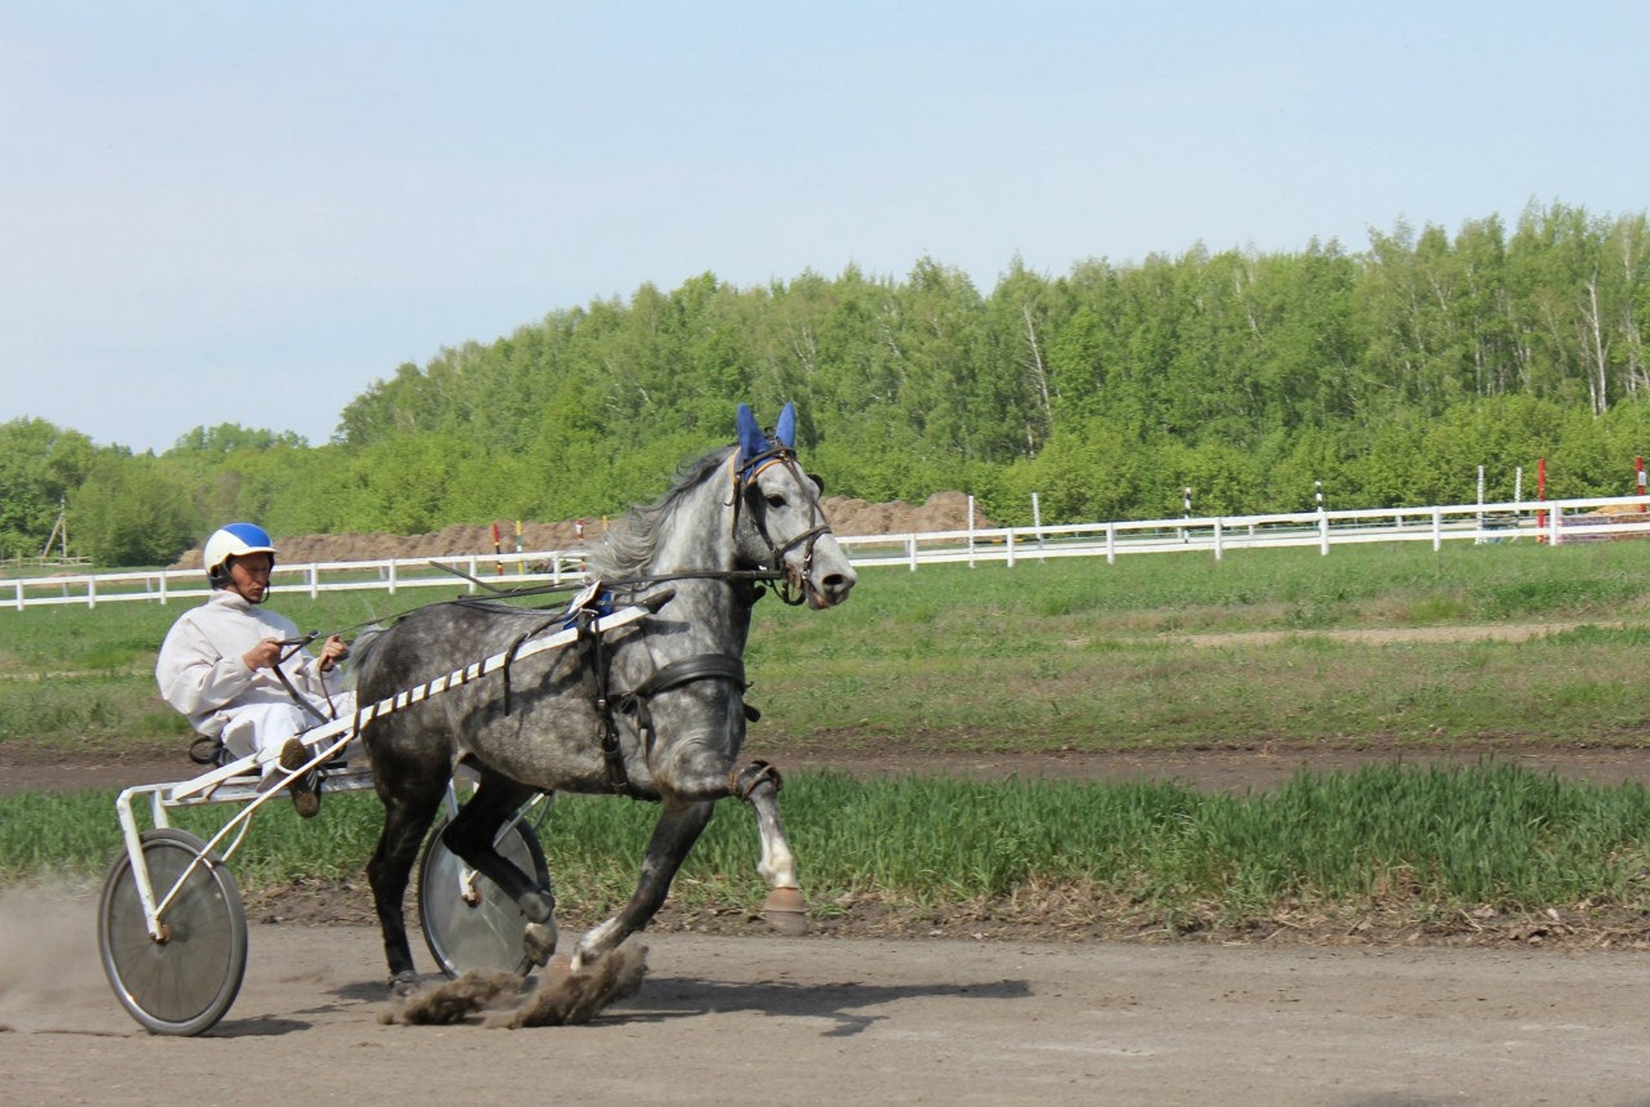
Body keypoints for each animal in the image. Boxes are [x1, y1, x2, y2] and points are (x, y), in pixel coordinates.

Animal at [353, 402, 858, 989]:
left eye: (816, 488)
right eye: (774, 497)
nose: (838, 578)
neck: (671, 625)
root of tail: (384, 640)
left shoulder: (688, 796)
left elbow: (653, 885)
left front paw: (590, 951)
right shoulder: (680, 767)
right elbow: (759, 781)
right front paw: (783, 878)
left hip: (508, 773)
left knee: (465, 838)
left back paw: (537, 919)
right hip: (414, 783)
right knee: (387, 869)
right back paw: (404, 975)